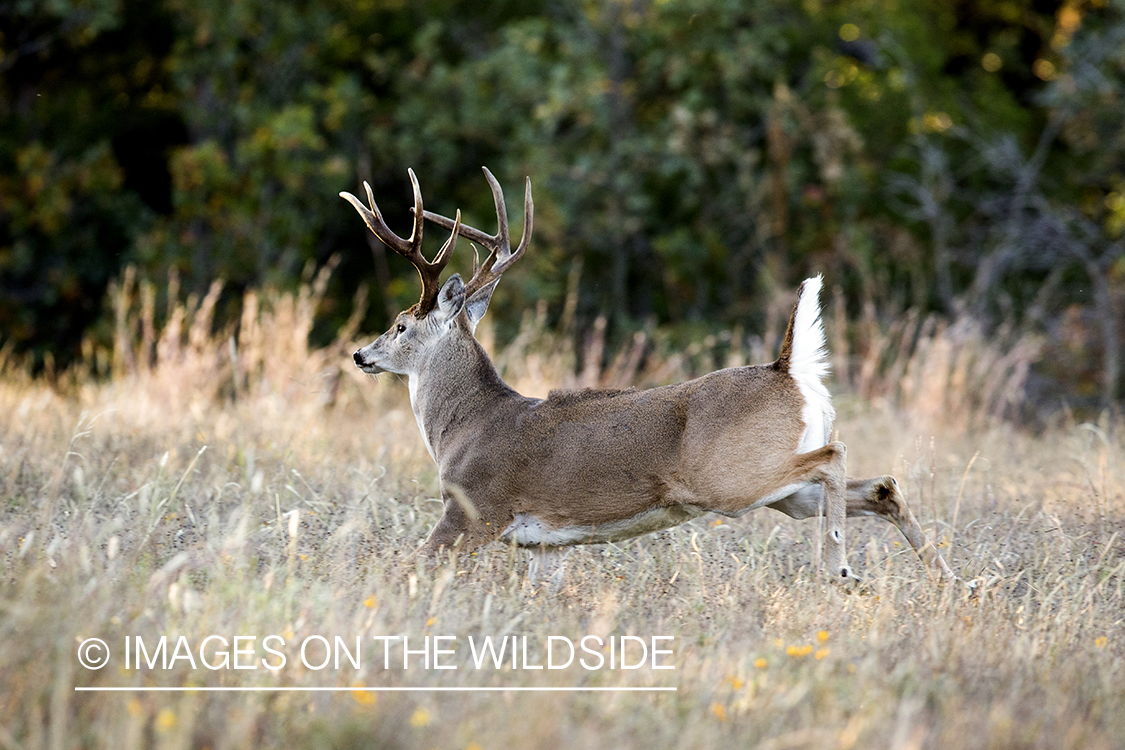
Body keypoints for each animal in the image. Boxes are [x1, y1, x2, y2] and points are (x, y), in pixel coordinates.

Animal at [342, 169, 958, 584]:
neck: (464, 427)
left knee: (837, 456)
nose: (359, 354)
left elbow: (412, 567)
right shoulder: (546, 546)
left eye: (400, 325)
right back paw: (952, 580)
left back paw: (840, 566)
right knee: (882, 485)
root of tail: (786, 369)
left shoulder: (474, 507)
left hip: (731, 476)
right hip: (783, 491)